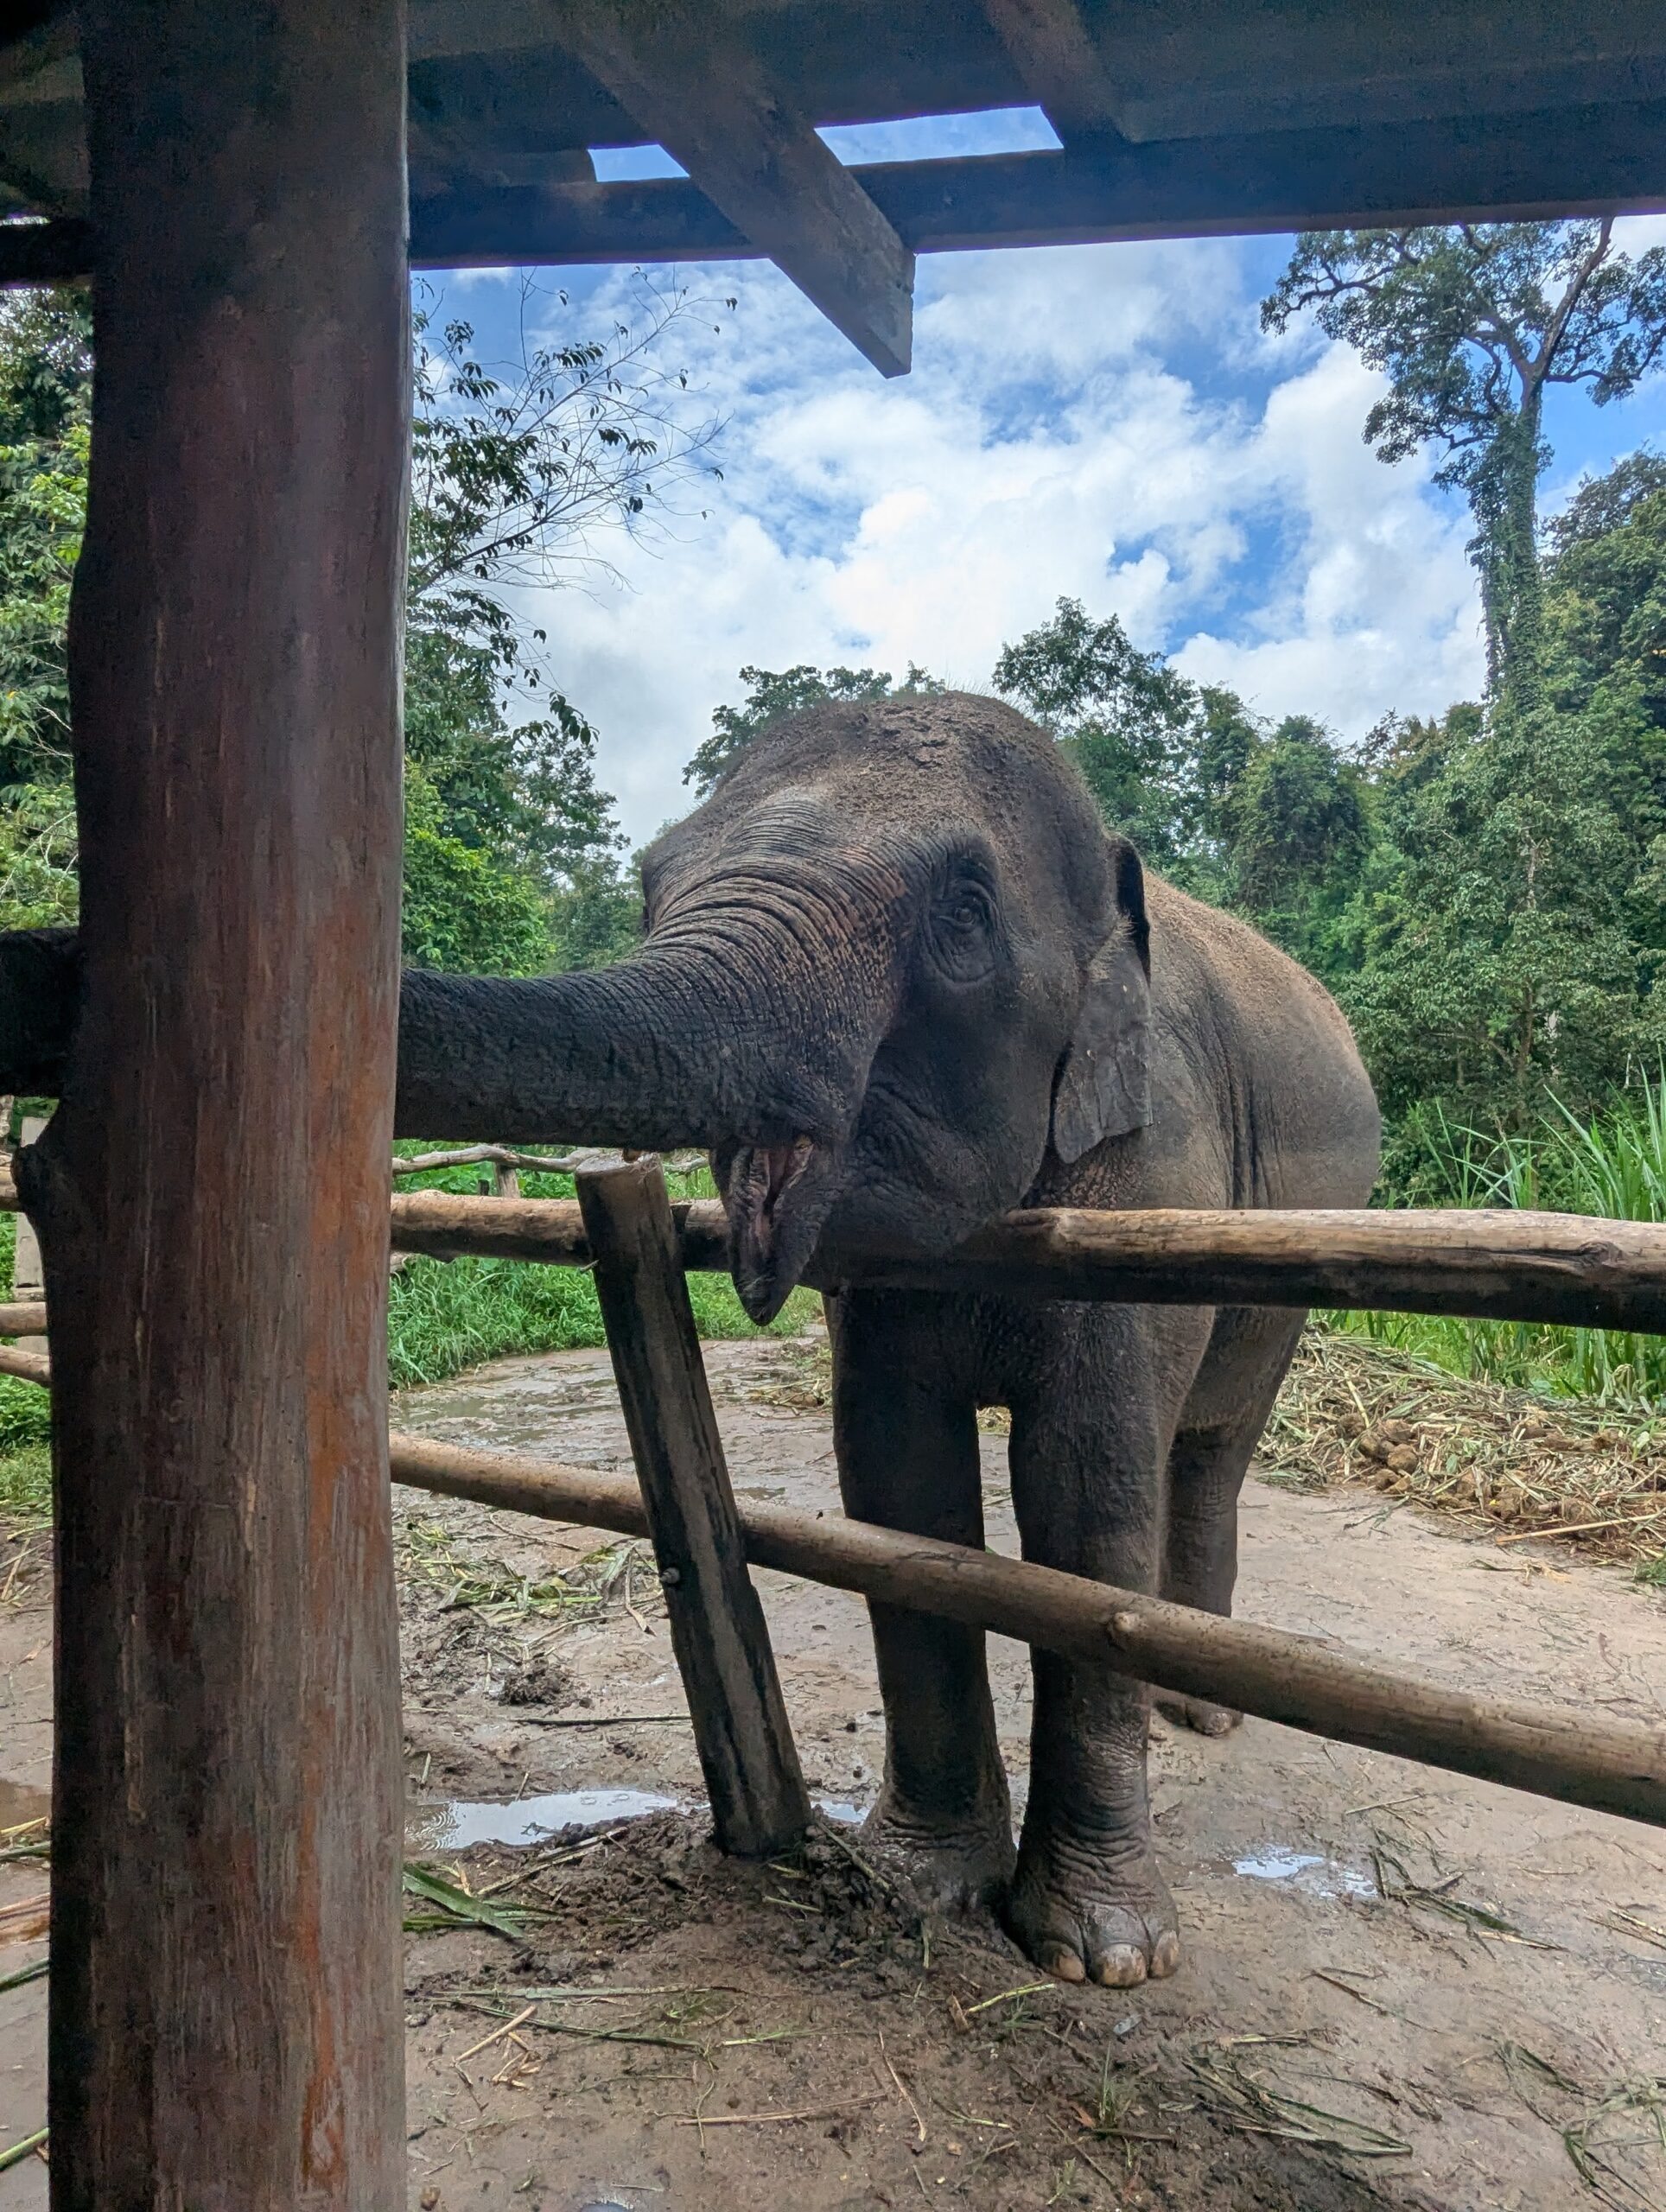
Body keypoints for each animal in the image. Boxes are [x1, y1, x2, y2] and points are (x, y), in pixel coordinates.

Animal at [0, 689, 1380, 1987]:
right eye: (653, 882)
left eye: (964, 912)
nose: (54, 962)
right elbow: (898, 1484)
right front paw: (918, 1887)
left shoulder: (1158, 1173)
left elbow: (1088, 1500)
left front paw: (1102, 1957)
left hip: (1298, 1239)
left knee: (1208, 1447)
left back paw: (1199, 1713)